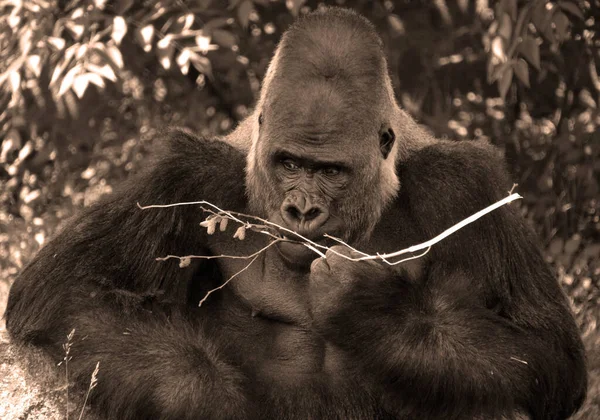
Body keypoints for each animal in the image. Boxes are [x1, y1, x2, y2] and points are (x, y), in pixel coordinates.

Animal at [3, 6, 584, 420]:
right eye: (288, 163)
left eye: (329, 171)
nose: (301, 210)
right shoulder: (183, 174)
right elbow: (63, 289)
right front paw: (205, 398)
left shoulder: (467, 188)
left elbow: (547, 353)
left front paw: (371, 308)